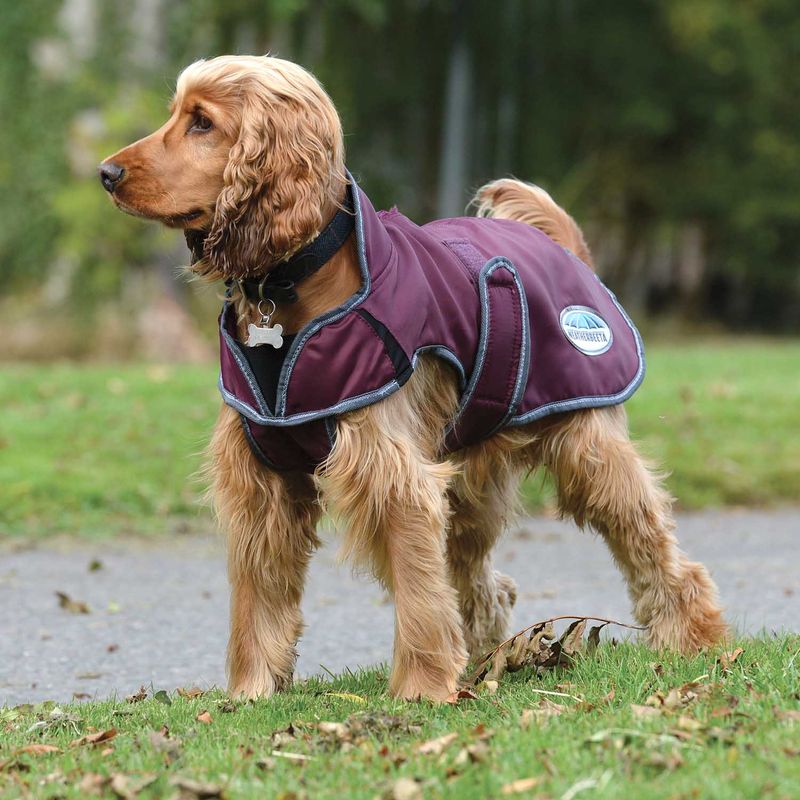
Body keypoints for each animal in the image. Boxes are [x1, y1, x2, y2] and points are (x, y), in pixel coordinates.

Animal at [100, 53, 724, 700]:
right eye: (177, 114)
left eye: (202, 122)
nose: (106, 172)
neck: (293, 292)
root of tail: (564, 246)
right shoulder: (260, 477)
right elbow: (257, 594)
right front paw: (252, 689)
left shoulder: (392, 470)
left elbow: (418, 588)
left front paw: (422, 688)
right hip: (472, 475)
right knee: (485, 582)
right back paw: (484, 655)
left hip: (586, 443)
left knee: (651, 539)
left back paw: (692, 634)